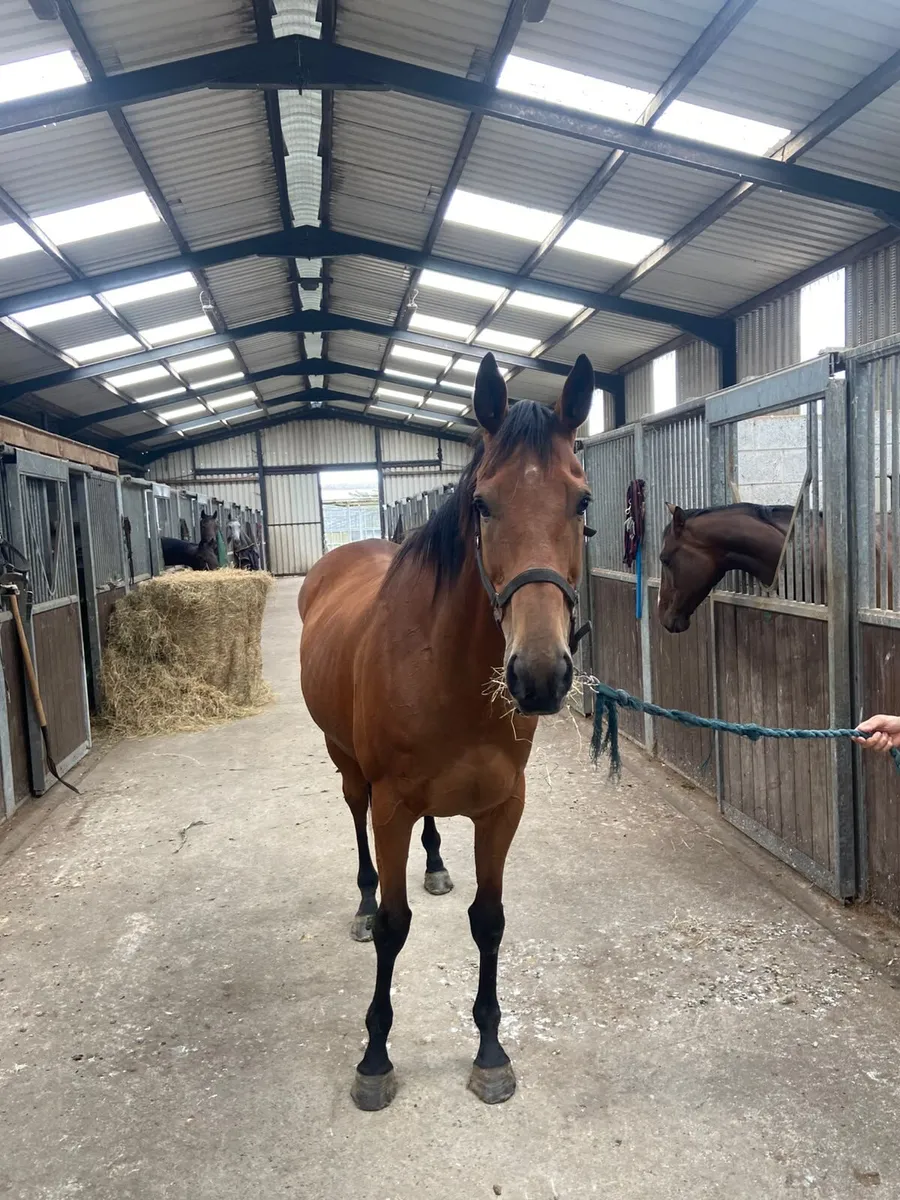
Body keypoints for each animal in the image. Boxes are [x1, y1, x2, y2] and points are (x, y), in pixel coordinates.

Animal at [298, 351, 594, 1110]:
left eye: (581, 503)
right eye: (483, 503)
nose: (540, 675)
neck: (446, 668)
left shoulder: (503, 806)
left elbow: (489, 921)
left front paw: (491, 1051)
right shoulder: (392, 804)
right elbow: (394, 928)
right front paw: (375, 1057)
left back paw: (433, 864)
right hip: (347, 766)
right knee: (356, 826)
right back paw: (363, 900)